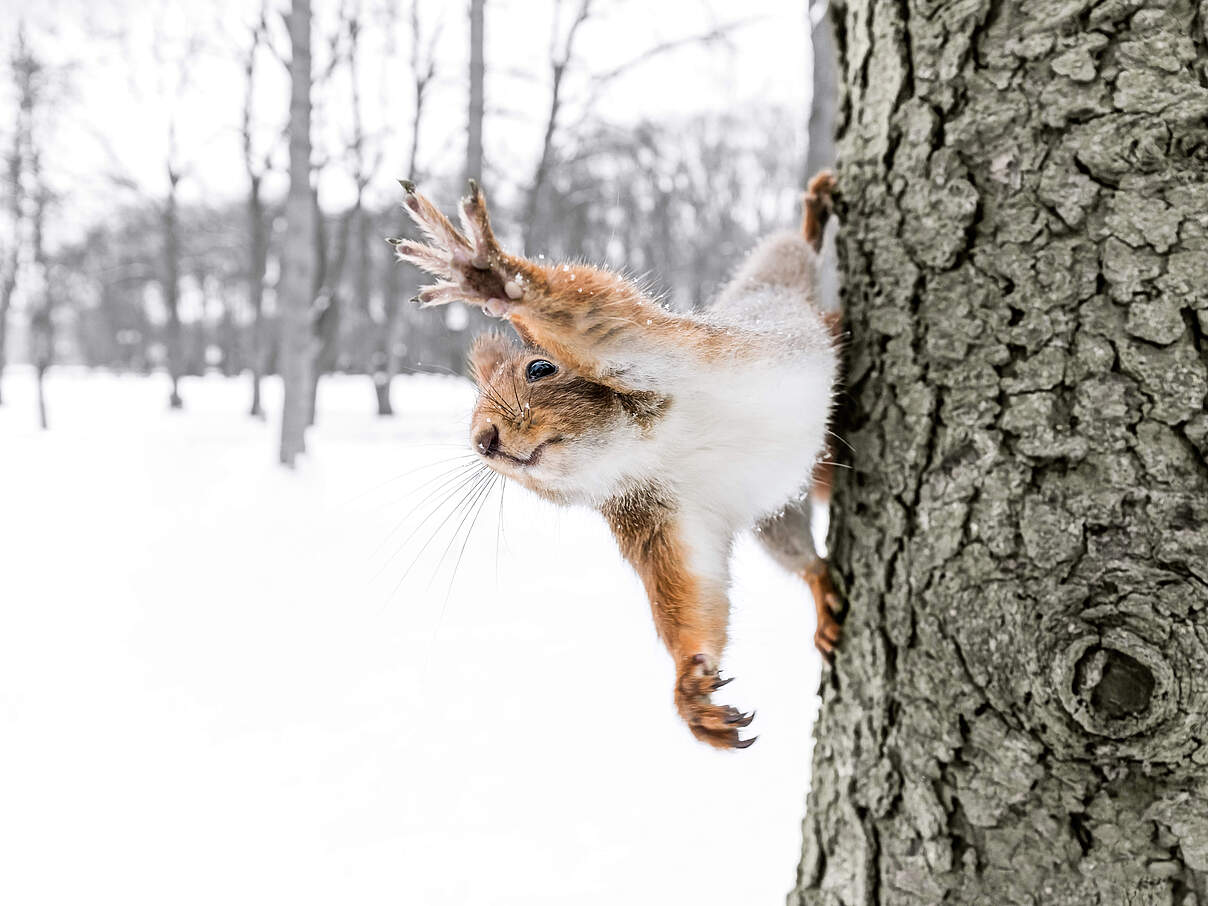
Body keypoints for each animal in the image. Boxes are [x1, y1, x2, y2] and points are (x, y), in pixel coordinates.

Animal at [391, 171, 842, 749]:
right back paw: (822, 590)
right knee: (803, 557)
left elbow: (597, 315)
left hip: (774, 288)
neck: (636, 448)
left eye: (541, 367)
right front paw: (691, 690)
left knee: (792, 255)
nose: (483, 440)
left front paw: (487, 273)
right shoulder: (660, 522)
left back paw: (813, 219)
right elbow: (689, 594)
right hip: (780, 513)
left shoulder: (657, 354)